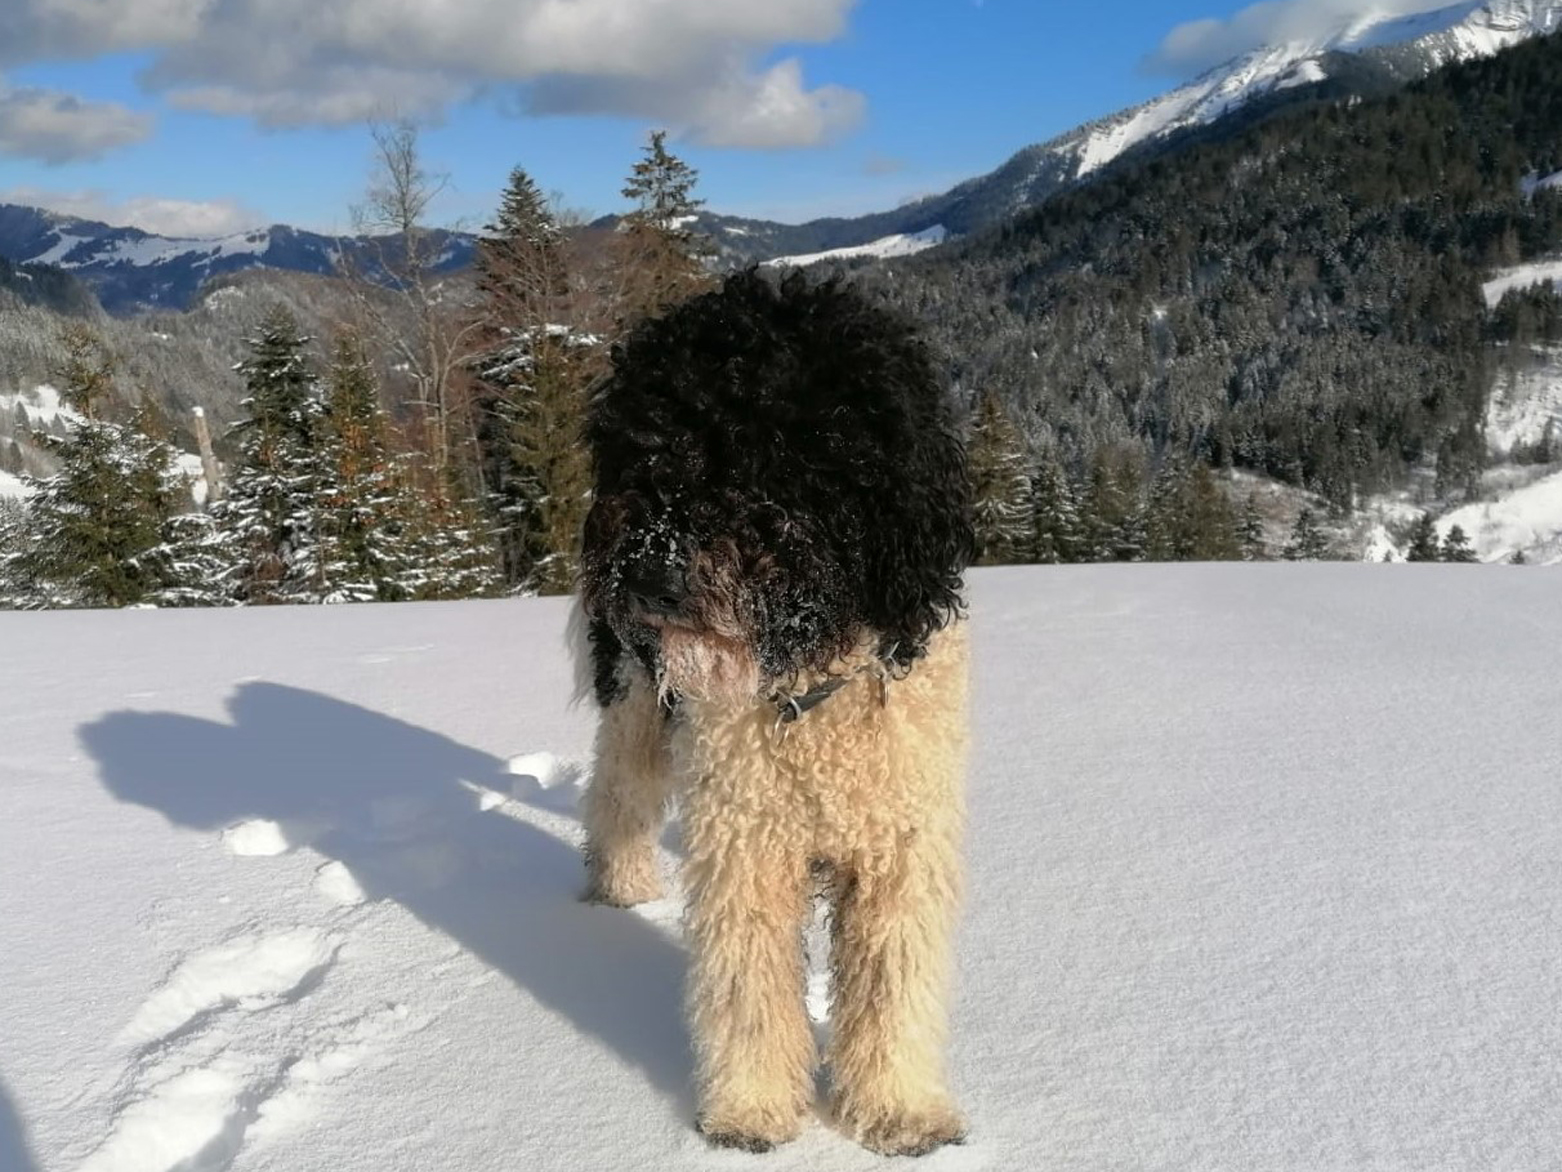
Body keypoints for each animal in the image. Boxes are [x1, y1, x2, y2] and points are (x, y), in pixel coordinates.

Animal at [574, 270, 974, 1162]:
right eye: (648, 446)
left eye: (778, 456)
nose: (647, 569)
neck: (807, 699)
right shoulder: (746, 846)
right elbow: (748, 987)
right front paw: (750, 1113)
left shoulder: (900, 848)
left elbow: (892, 985)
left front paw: (898, 1113)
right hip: (638, 709)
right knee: (616, 799)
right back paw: (619, 890)